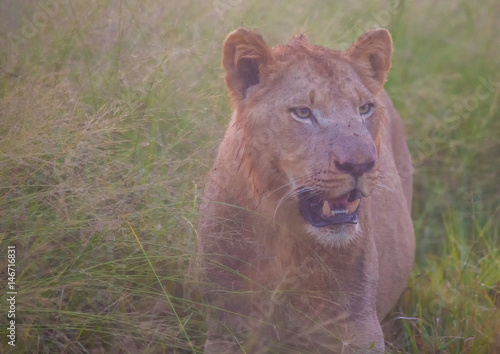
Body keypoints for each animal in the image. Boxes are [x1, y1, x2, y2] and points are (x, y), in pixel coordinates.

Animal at [198, 28, 414, 354]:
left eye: (364, 109)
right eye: (302, 112)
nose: (361, 164)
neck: (284, 236)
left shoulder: (358, 327)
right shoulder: (226, 327)